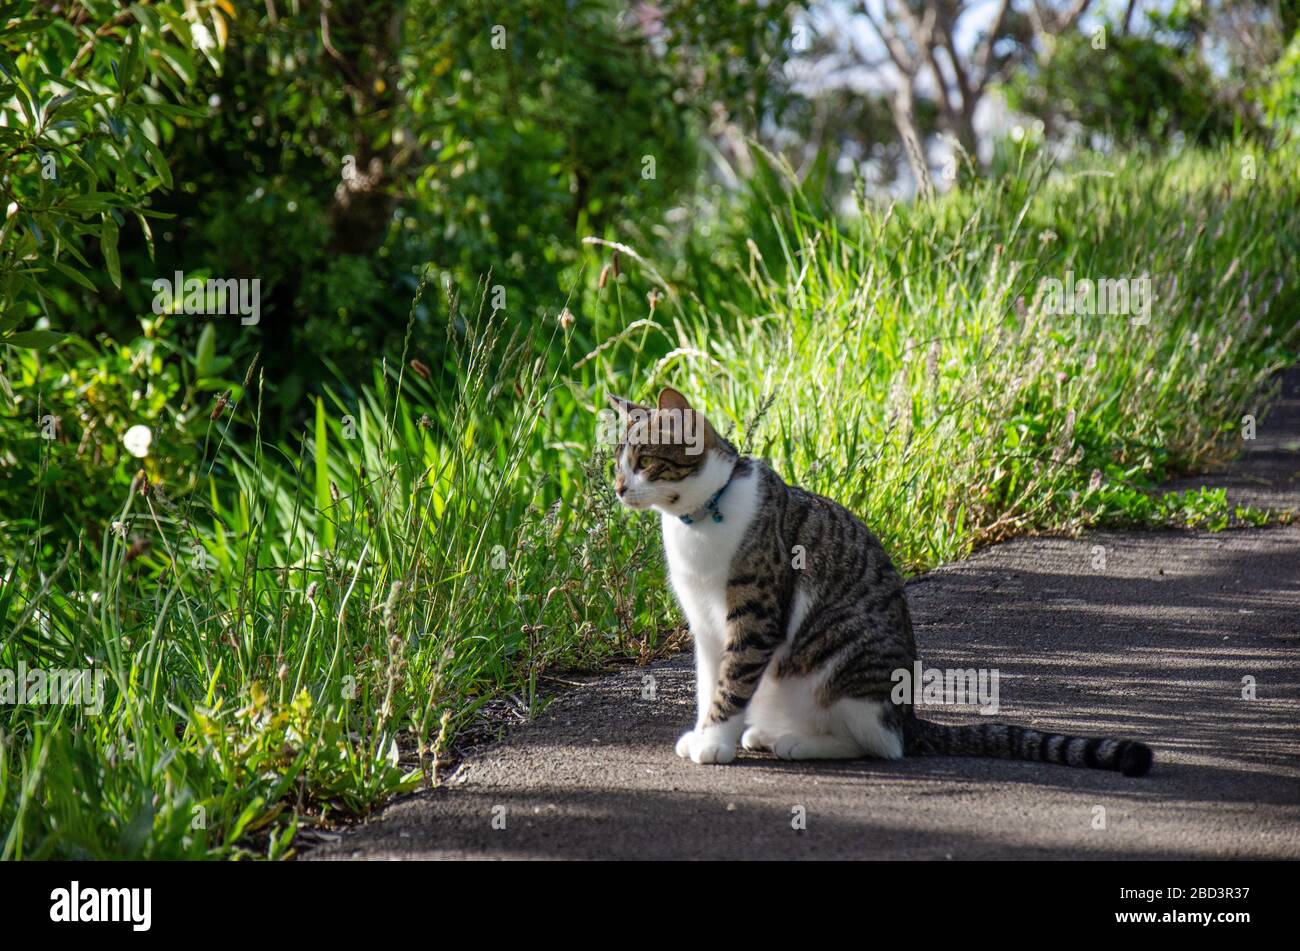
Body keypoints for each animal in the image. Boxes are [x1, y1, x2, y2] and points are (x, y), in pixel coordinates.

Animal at [603, 381, 1154, 774]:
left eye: (644, 462)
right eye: (617, 463)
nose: (619, 488)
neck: (702, 517)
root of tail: (908, 718)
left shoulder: (755, 617)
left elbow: (733, 680)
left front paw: (714, 742)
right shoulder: (706, 626)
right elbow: (709, 683)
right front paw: (706, 731)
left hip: (844, 654)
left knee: (879, 745)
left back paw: (796, 742)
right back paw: (767, 732)